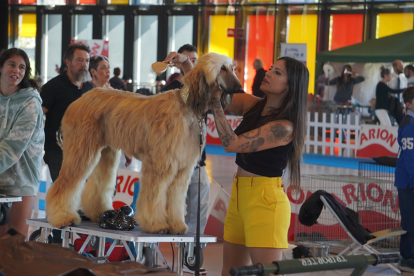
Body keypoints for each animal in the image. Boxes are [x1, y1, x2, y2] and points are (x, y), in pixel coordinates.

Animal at [45, 52, 243, 233]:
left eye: (233, 68)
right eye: (222, 69)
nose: (241, 89)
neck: (187, 108)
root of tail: (80, 99)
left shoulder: (183, 169)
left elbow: (176, 199)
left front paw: (177, 225)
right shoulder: (160, 165)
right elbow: (153, 196)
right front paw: (156, 224)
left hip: (106, 152)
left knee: (99, 183)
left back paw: (98, 212)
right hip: (81, 149)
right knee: (65, 184)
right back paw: (62, 216)